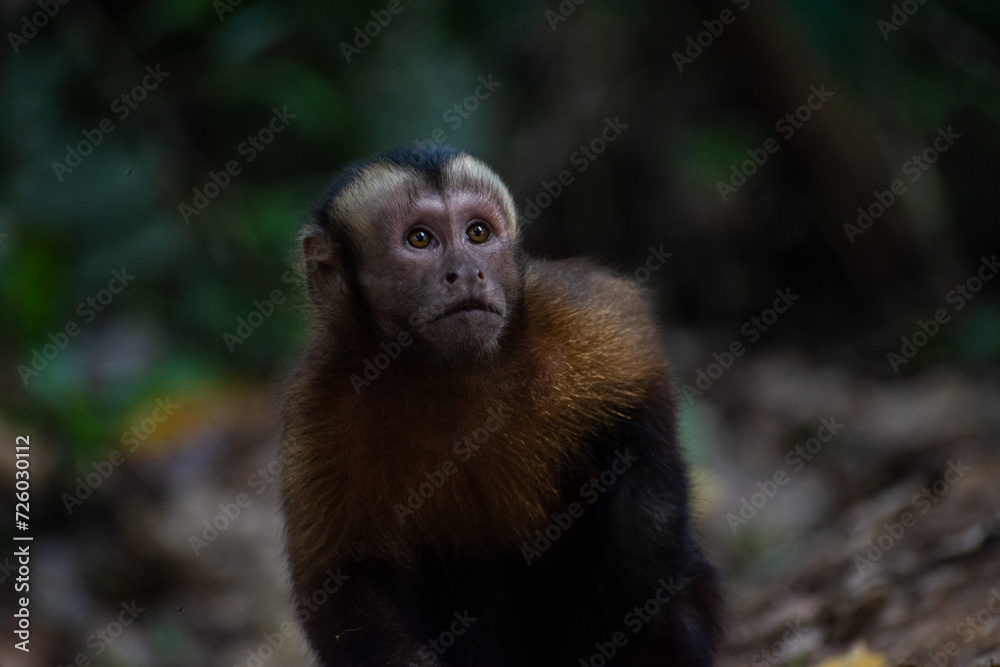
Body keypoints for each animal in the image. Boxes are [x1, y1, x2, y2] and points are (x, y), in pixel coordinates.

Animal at [282, 144, 720, 664]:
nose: (467, 272)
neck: (445, 372)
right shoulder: (322, 403)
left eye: (477, 233)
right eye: (420, 239)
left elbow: (642, 396)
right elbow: (346, 581)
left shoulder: (578, 319)